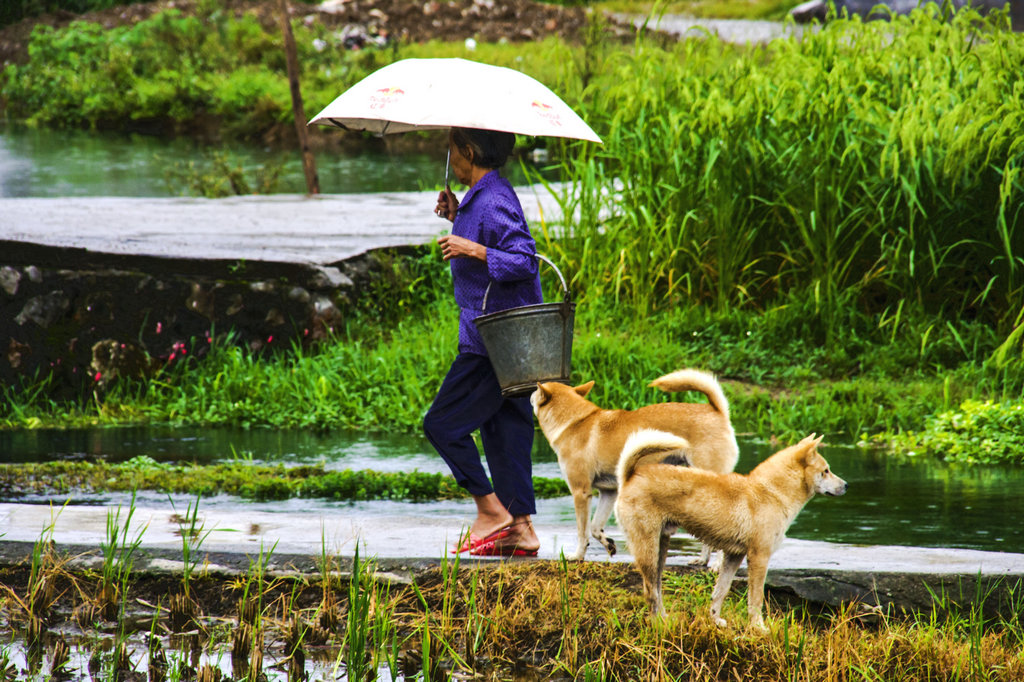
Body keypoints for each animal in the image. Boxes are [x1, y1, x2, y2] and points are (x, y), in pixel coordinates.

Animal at [532, 368, 741, 561]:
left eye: (534, 391)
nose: (530, 392)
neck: (574, 422)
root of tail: (718, 411)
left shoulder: (580, 492)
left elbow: (582, 532)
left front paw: (577, 556)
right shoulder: (608, 492)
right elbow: (595, 528)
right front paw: (609, 544)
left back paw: (715, 565)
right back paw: (702, 560)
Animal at [614, 428, 847, 630]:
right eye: (825, 471)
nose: (846, 485)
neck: (770, 492)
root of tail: (630, 475)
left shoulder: (734, 555)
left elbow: (721, 591)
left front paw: (716, 620)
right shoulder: (759, 557)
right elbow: (756, 598)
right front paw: (759, 628)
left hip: (660, 548)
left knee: (656, 589)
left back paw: (665, 619)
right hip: (648, 549)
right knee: (650, 591)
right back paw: (659, 624)